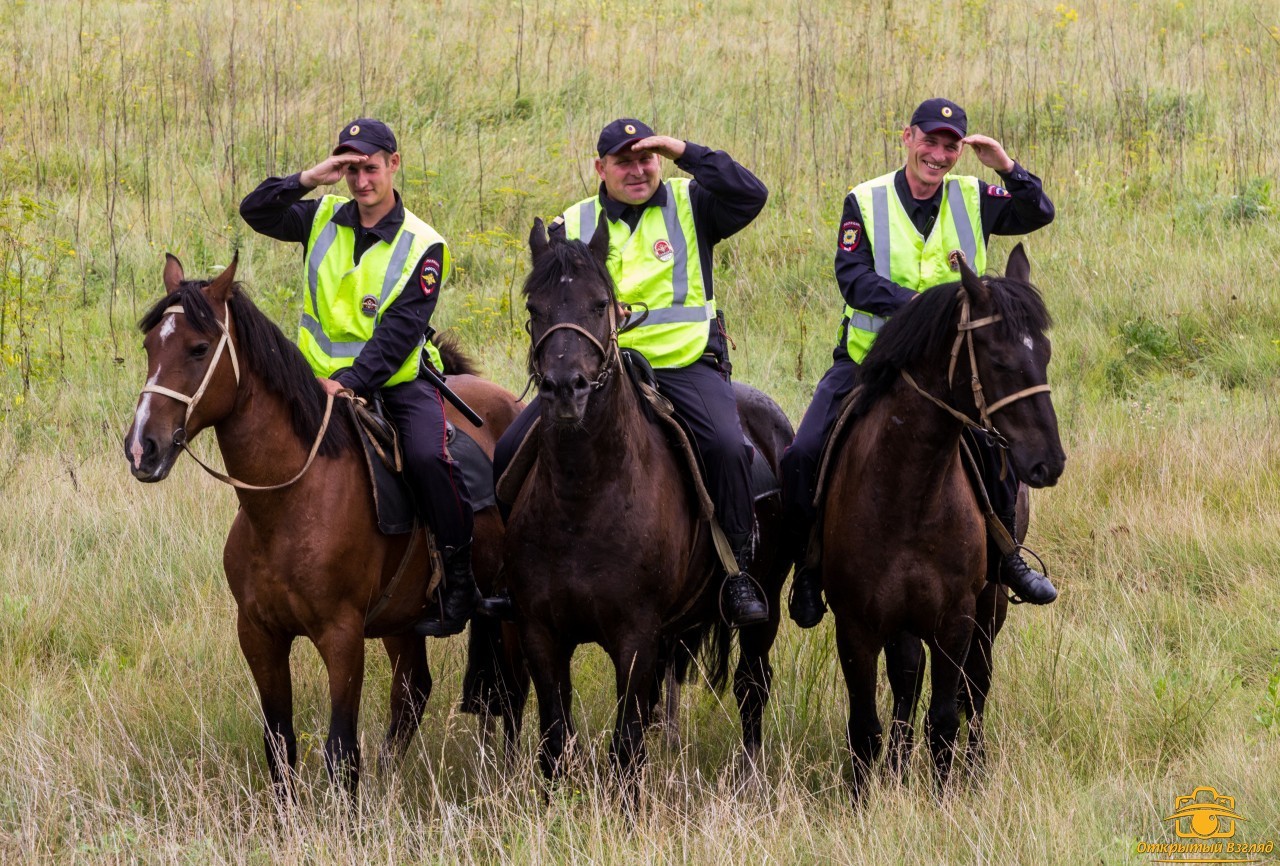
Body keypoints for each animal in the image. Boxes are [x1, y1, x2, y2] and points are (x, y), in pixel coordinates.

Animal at [122, 253, 527, 798]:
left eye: (199, 348)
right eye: (150, 346)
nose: (142, 448)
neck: (287, 505)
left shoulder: (342, 637)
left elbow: (341, 753)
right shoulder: (259, 634)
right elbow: (279, 744)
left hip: (502, 607)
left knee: (511, 693)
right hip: (403, 618)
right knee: (414, 690)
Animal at [501, 217, 788, 782]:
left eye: (599, 304)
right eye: (534, 309)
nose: (565, 389)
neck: (582, 501)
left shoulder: (634, 638)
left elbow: (626, 748)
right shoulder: (541, 635)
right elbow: (555, 744)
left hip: (763, 606)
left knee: (752, 686)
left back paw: (751, 773)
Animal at [824, 243, 1064, 798]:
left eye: (1043, 354)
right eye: (999, 361)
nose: (1049, 463)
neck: (908, 494)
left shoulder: (955, 619)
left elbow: (946, 717)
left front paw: (946, 795)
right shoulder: (857, 625)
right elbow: (865, 725)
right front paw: (865, 797)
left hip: (990, 604)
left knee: (976, 688)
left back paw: (973, 767)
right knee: (907, 681)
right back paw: (897, 764)